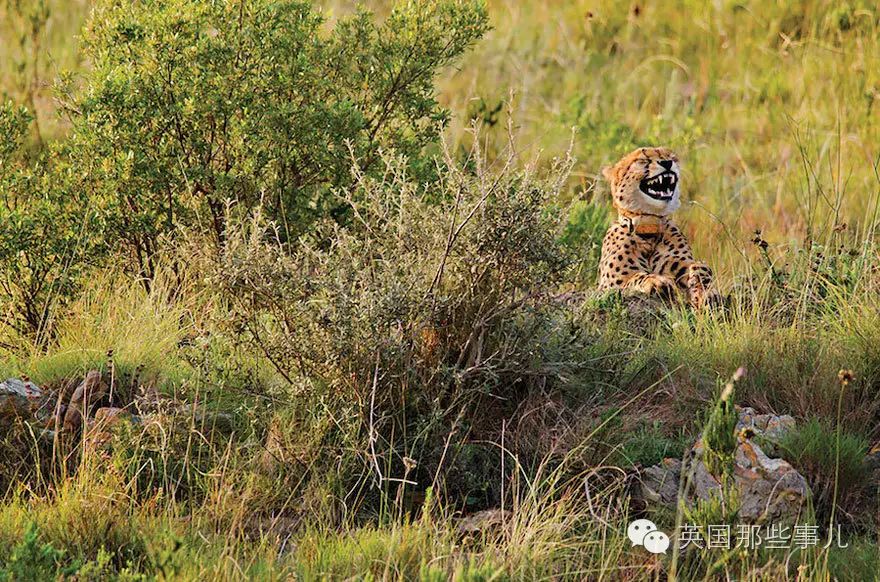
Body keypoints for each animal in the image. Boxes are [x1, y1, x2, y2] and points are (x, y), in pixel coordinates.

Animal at [600, 147, 720, 310]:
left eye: (671, 157)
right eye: (643, 159)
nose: (667, 162)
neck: (649, 225)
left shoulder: (681, 266)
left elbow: (700, 269)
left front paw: (707, 289)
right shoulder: (608, 287)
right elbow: (636, 276)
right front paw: (657, 281)